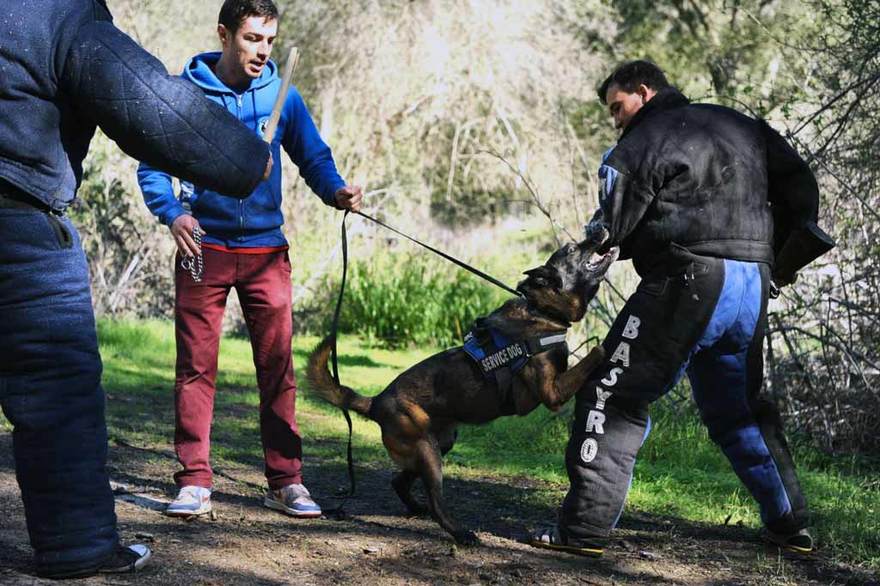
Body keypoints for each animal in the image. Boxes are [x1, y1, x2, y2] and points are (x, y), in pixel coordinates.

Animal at [310, 228, 620, 544]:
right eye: (571, 249)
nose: (599, 229)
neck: (541, 310)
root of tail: (376, 401)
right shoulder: (552, 392)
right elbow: (595, 353)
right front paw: (607, 344)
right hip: (428, 451)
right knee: (435, 501)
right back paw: (460, 532)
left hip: (440, 443)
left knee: (398, 481)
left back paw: (417, 508)